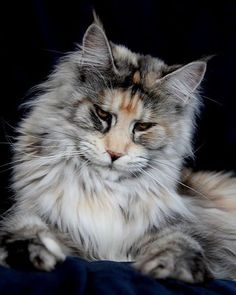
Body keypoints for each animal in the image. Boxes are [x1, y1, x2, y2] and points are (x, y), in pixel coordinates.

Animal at [0, 17, 236, 282]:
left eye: (143, 126)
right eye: (102, 114)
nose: (114, 154)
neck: (103, 191)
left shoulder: (198, 234)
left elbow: (183, 242)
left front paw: (171, 268)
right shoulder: (41, 216)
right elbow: (24, 226)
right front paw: (26, 253)